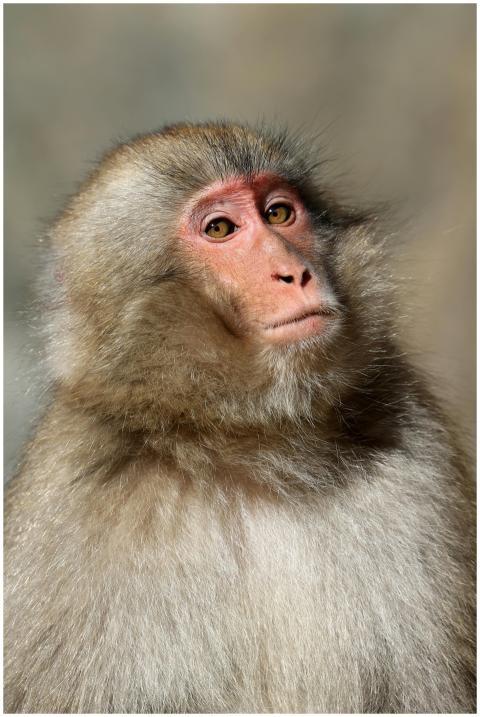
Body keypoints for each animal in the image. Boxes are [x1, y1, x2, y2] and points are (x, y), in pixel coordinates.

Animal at [4, 121, 475, 714]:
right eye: (221, 229)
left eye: (279, 213)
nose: (294, 273)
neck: (251, 445)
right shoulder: (72, 510)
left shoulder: (416, 449)